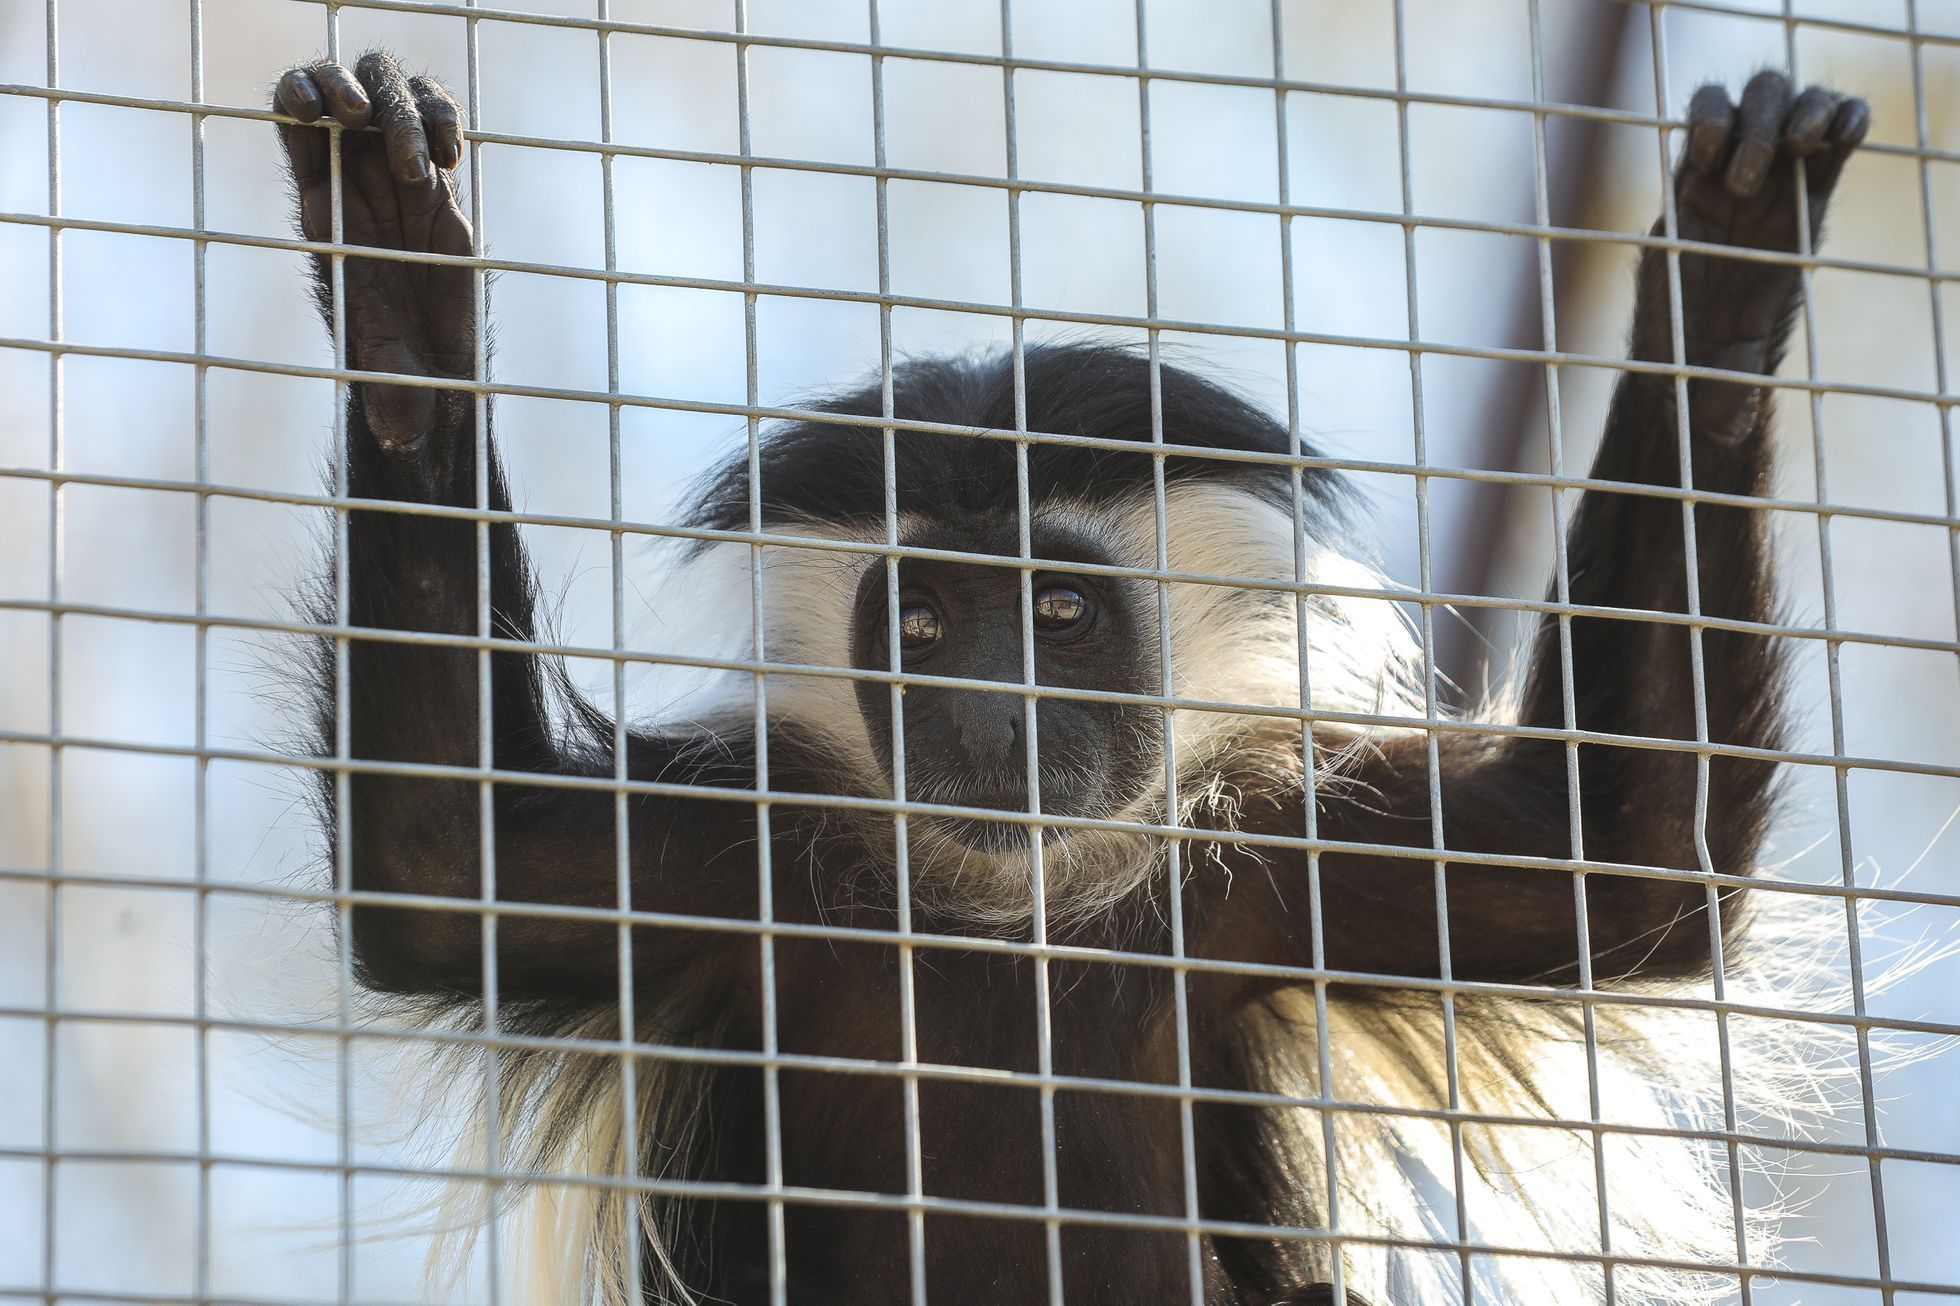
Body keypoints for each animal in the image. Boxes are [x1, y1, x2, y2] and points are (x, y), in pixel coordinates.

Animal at [276, 55, 1865, 1302]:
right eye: (924, 623)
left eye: (1058, 614)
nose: (994, 711)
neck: (1008, 912)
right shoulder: (735, 852)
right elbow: (447, 858)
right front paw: (397, 291)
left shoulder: (1270, 857)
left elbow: (1632, 853)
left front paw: (1726, 279)